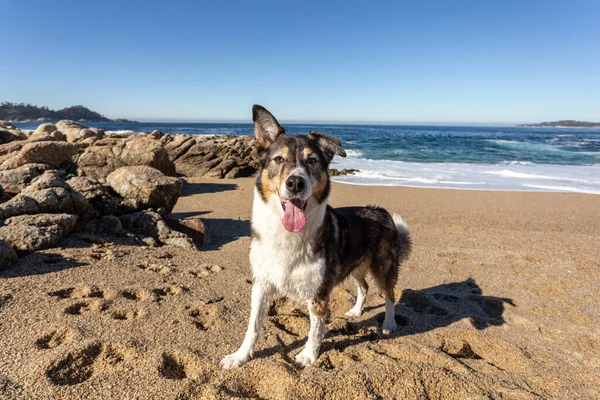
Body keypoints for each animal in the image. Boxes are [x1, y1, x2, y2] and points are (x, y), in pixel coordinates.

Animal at [220, 106, 412, 368]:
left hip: (382, 266)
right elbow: (253, 326)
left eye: (312, 161)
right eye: (278, 159)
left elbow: (315, 329)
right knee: (363, 287)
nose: (295, 183)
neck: (287, 234)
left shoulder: (318, 293)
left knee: (390, 294)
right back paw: (356, 311)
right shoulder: (261, 284)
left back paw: (389, 323)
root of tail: (382, 212)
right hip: (356, 266)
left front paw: (308, 356)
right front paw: (240, 356)